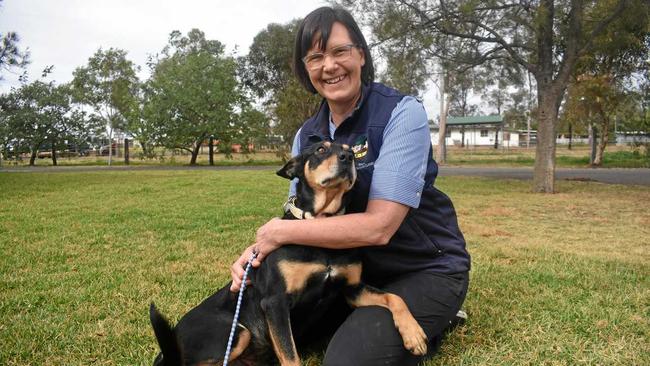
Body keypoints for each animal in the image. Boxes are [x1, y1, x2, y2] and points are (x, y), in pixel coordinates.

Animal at [149, 141, 428, 366]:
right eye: (321, 149)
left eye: (352, 150)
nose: (348, 158)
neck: (319, 226)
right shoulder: (276, 302)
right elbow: (290, 356)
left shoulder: (352, 289)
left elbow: (394, 297)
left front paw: (413, 334)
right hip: (236, 331)